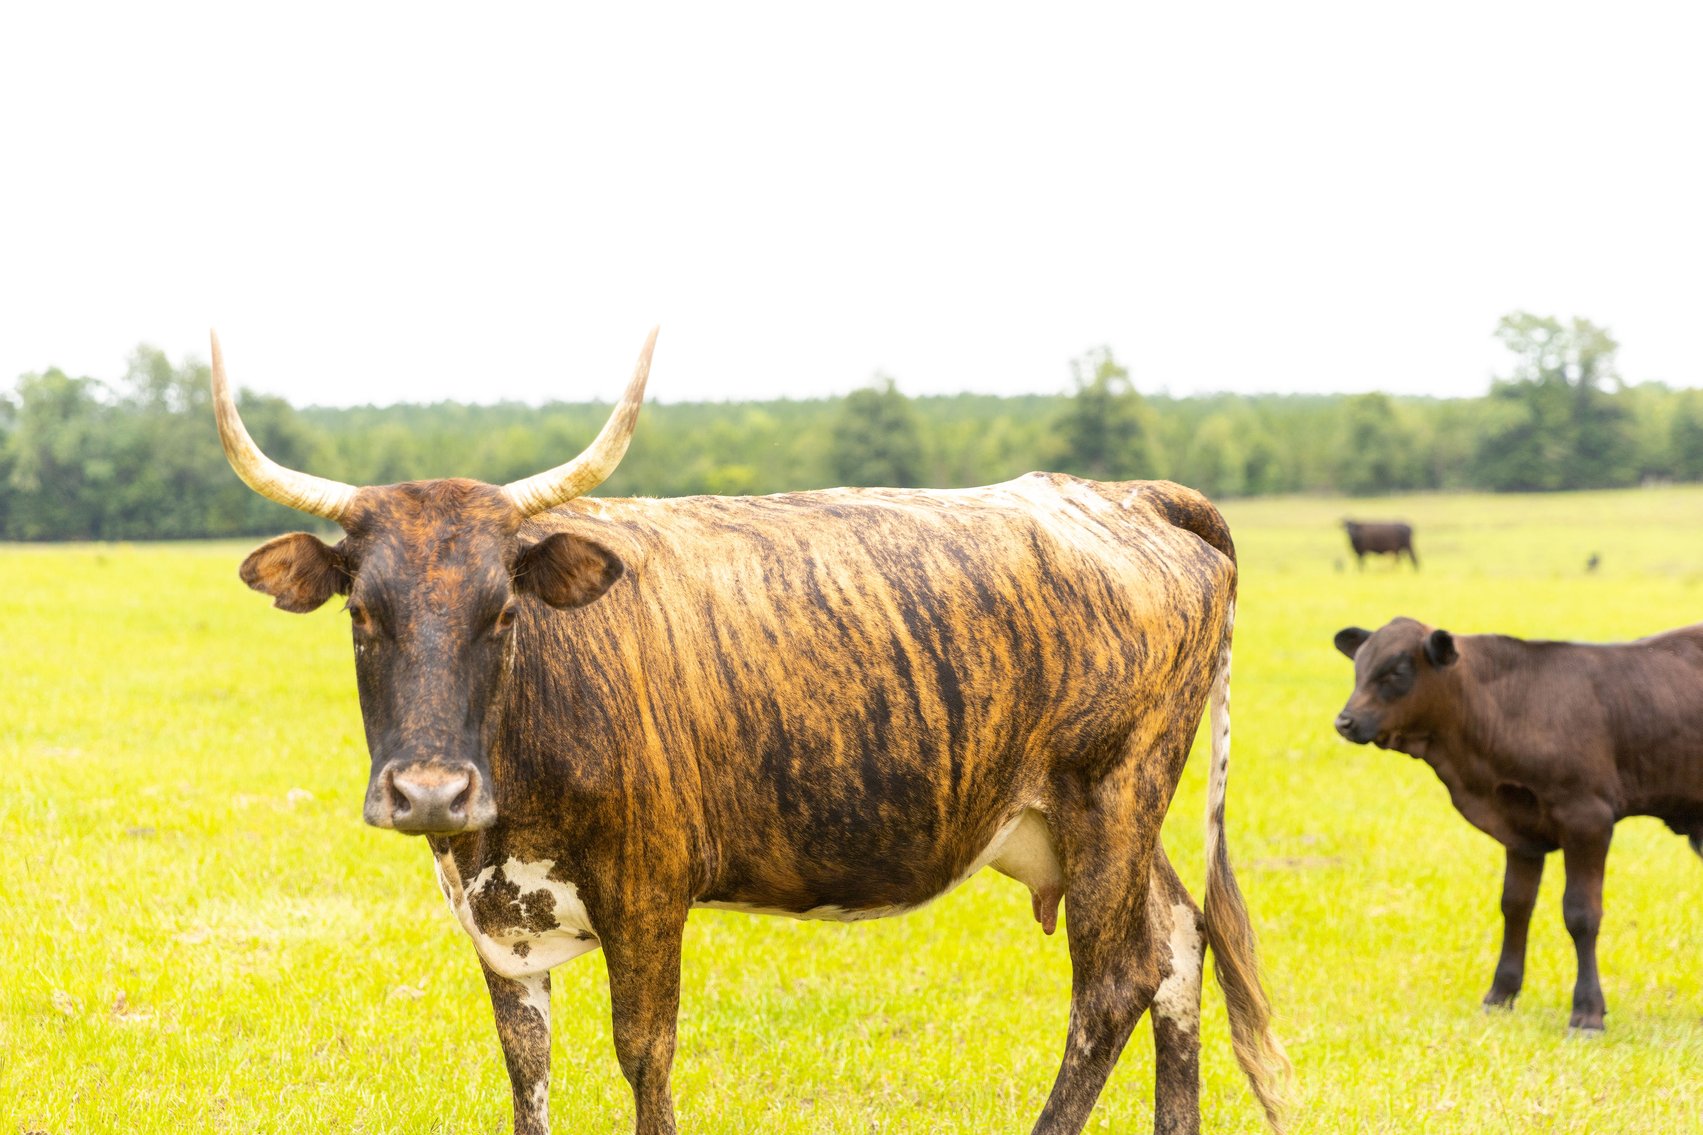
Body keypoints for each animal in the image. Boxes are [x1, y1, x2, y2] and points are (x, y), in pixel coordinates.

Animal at [211, 329, 1289, 1135]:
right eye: (362, 613)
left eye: (503, 611)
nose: (429, 791)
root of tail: (1123, 494)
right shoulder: (497, 918)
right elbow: (527, 1068)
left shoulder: (647, 892)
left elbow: (643, 1056)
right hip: (1083, 821)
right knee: (1177, 941)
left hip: (1111, 793)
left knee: (1114, 981)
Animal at [1332, 616, 1703, 1033]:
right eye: (1359, 669)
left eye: (1396, 672)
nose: (1344, 721)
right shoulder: (1520, 829)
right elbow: (1515, 905)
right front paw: (1500, 994)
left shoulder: (1587, 817)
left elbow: (1581, 913)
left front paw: (1587, 1012)